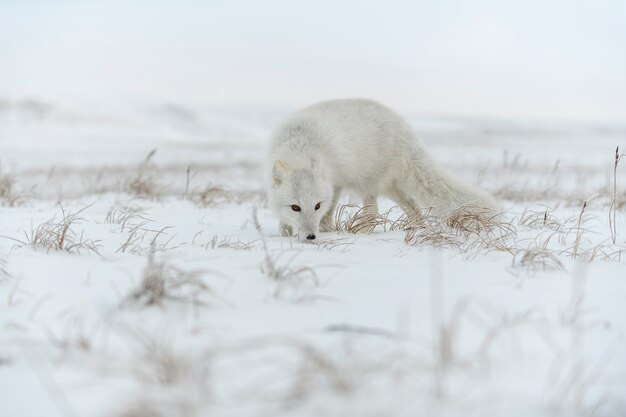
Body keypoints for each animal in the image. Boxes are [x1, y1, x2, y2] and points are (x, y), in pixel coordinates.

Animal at [268, 98, 498, 240]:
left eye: (317, 205)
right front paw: (285, 231)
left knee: (373, 212)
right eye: (295, 207)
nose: (310, 237)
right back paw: (418, 227)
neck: (301, 148)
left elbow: (329, 211)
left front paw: (326, 228)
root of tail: (404, 128)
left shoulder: (337, 182)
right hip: (390, 187)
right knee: (412, 204)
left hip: (368, 183)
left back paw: (363, 231)